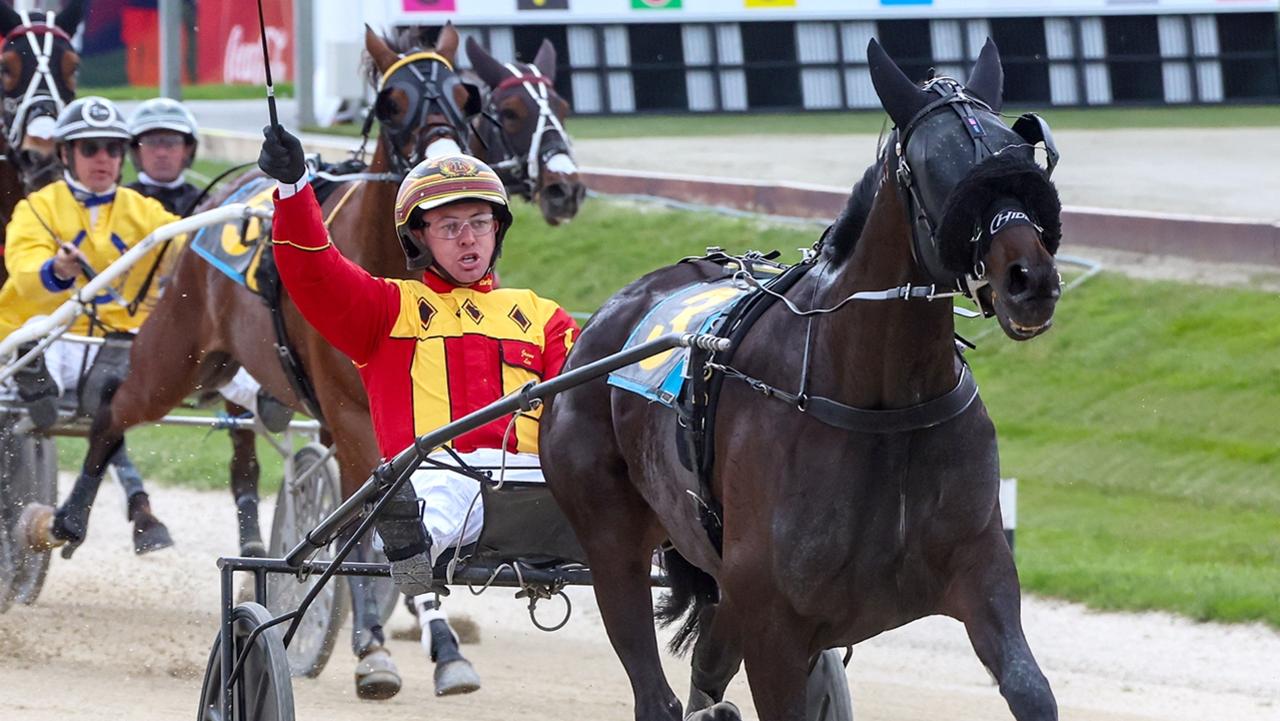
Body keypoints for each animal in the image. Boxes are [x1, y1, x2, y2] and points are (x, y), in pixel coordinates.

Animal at [540, 39, 1059, 721]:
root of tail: (598, 324)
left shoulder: (979, 571)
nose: (1031, 279)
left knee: (708, 664)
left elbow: (1030, 687)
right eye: (937, 168)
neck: (879, 405)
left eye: (1020, 156)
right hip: (609, 536)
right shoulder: (775, 624)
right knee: (650, 680)